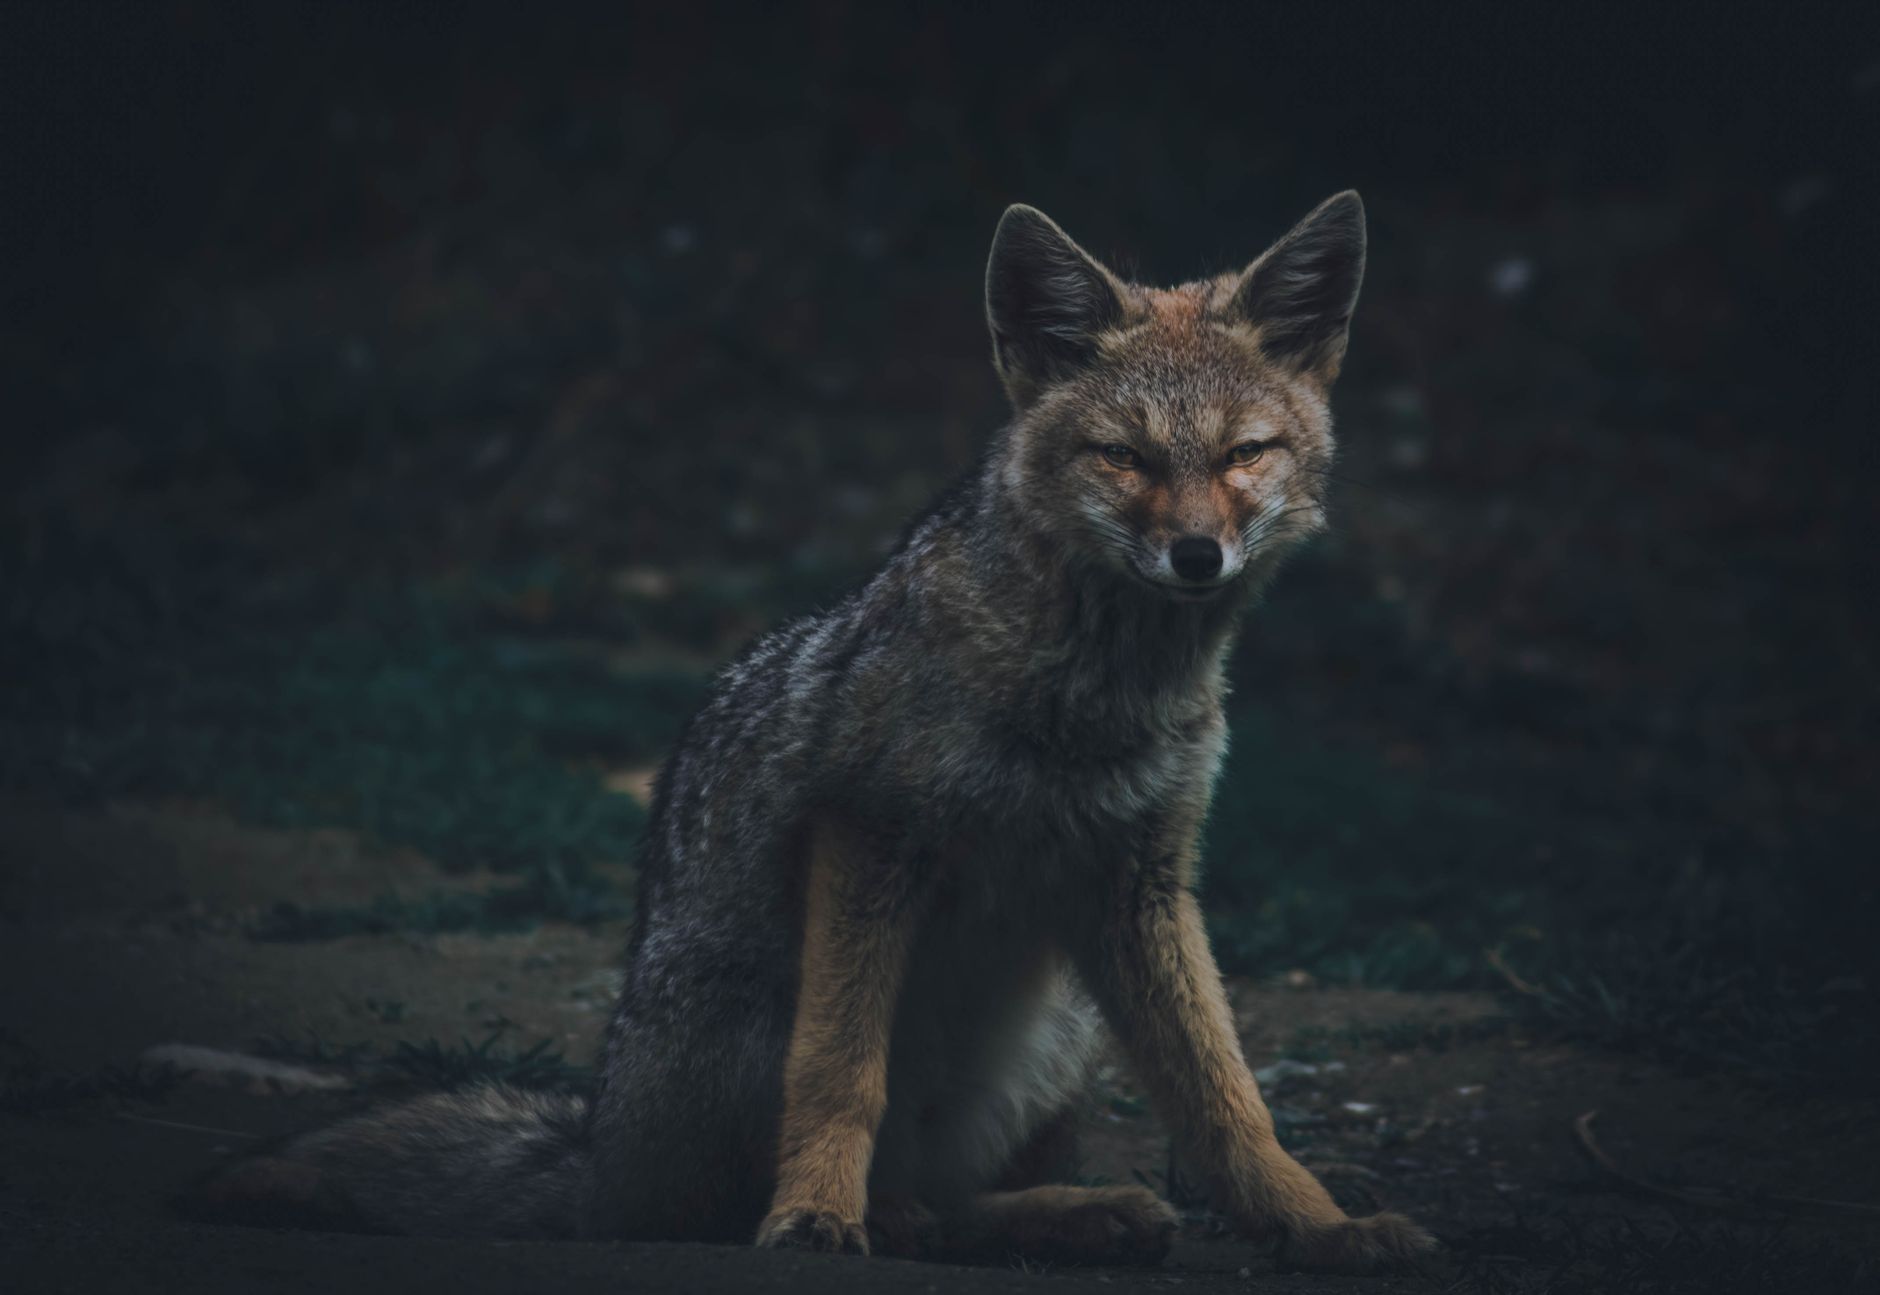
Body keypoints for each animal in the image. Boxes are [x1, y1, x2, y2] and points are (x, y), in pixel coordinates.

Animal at [197, 193, 1436, 1272]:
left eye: (1242, 454)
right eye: (1123, 456)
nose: (1194, 555)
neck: (1089, 696)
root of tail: (599, 1151)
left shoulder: (1140, 882)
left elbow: (1227, 1100)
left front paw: (1317, 1224)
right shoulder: (868, 834)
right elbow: (843, 1073)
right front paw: (812, 1216)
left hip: (1069, 1022)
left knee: (946, 1199)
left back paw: (1073, 1210)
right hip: (776, 1008)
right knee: (822, 1191)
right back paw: (895, 1214)